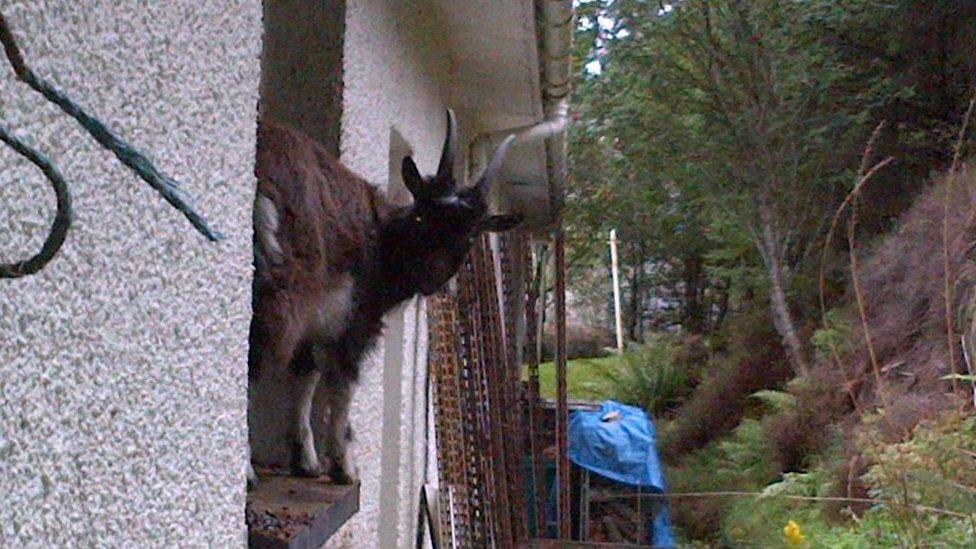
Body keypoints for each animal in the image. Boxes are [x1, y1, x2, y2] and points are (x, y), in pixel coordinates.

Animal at [248, 109, 524, 482]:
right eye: (422, 216)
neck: (379, 240)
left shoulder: (316, 323)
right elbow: (343, 383)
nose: (430, 278)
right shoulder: (355, 322)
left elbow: (305, 378)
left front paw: (306, 461)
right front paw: (344, 468)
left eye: (469, 236)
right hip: (279, 291)